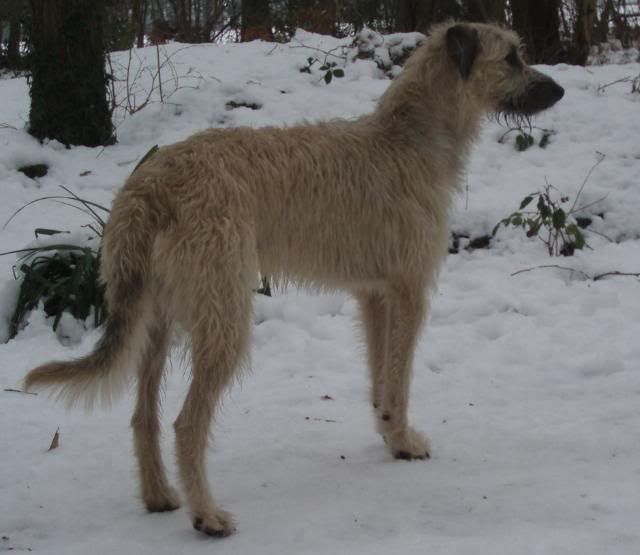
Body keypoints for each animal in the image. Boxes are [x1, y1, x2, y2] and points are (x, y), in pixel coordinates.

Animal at [23, 22, 564, 540]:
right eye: (512, 56)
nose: (557, 90)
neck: (410, 139)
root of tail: (150, 186)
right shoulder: (409, 288)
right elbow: (401, 378)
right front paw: (405, 441)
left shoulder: (374, 292)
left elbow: (380, 375)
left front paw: (388, 433)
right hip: (224, 312)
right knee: (186, 424)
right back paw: (207, 516)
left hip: (155, 315)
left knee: (144, 415)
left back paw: (158, 495)